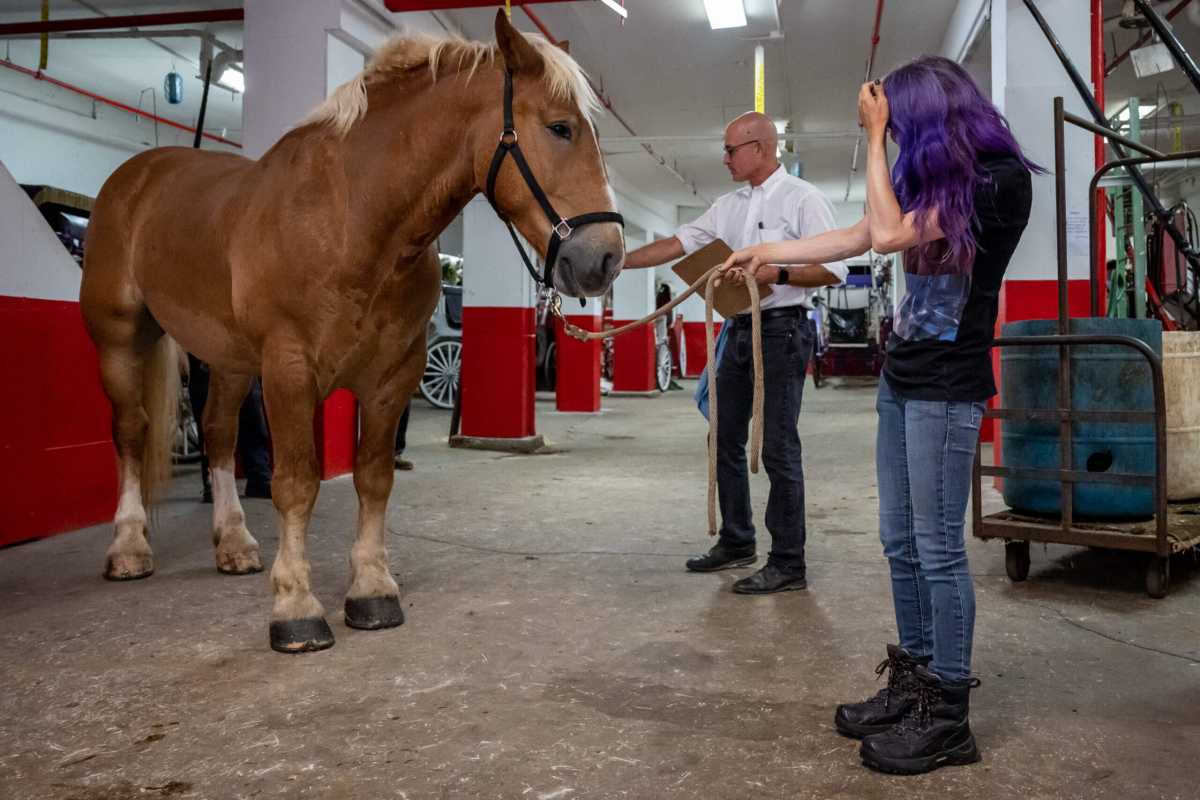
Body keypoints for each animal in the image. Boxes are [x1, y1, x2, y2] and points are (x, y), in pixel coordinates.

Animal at [80, 11, 625, 654]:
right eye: (560, 128)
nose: (607, 258)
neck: (352, 219)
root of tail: (138, 173)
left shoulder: (394, 374)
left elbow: (374, 475)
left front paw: (371, 589)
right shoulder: (288, 368)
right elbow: (297, 482)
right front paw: (295, 606)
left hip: (230, 359)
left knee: (217, 435)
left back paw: (234, 544)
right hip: (121, 339)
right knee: (132, 431)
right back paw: (129, 546)